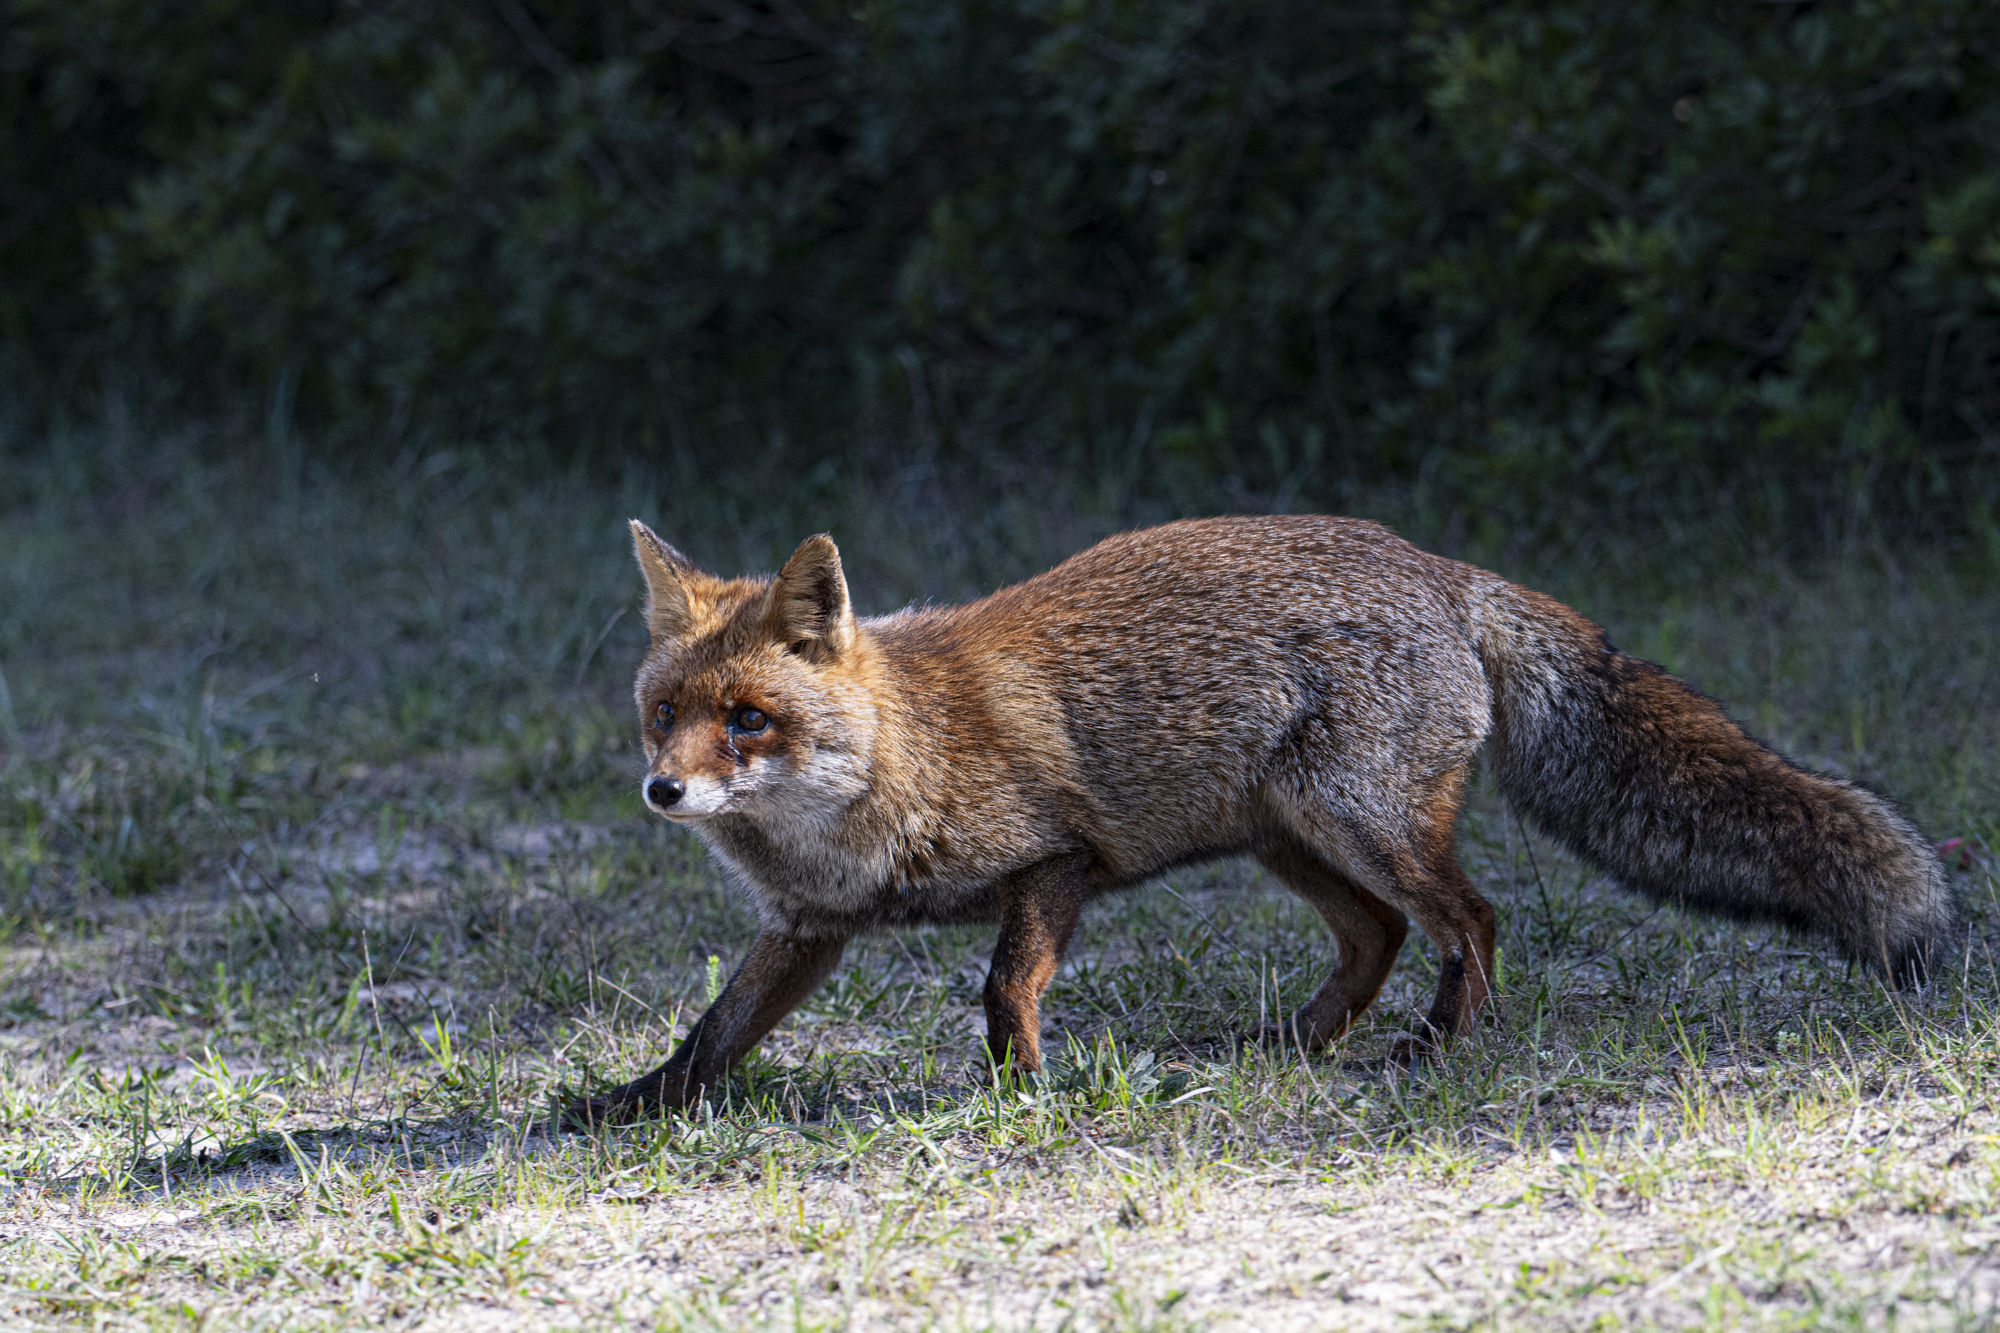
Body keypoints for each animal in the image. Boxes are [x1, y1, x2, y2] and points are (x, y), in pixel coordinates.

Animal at [570, 514, 1951, 1124]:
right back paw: (1290, 1046)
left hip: (1356, 823)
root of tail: (1442, 567)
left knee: (1471, 919)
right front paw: (626, 1107)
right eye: (663, 716)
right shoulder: (811, 927)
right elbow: (713, 1032)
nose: (663, 791)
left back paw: (1436, 1048)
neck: (883, 772)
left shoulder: (1056, 861)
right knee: (1376, 939)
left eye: (748, 719)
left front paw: (1023, 1093)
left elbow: (1002, 985)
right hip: (1291, 840)